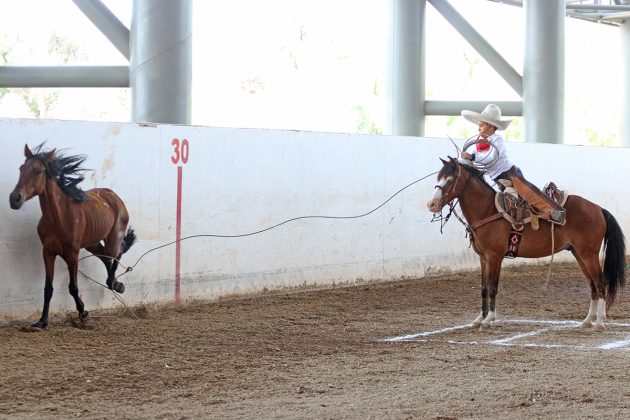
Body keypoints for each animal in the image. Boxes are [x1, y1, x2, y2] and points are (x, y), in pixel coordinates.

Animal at [8, 146, 138, 330]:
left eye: (38, 171)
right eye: (21, 169)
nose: (14, 199)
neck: (60, 217)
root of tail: (113, 196)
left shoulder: (72, 254)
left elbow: (73, 287)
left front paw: (83, 312)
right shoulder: (48, 252)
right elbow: (48, 288)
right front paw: (42, 321)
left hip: (113, 238)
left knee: (116, 254)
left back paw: (115, 284)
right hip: (92, 243)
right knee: (106, 258)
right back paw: (113, 283)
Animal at [424, 158, 628, 332]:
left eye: (450, 179)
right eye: (438, 178)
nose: (432, 204)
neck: (488, 211)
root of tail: (598, 209)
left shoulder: (495, 257)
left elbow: (492, 286)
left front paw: (489, 320)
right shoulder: (483, 258)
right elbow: (483, 288)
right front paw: (479, 319)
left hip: (589, 254)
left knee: (600, 283)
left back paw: (599, 322)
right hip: (579, 254)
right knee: (592, 285)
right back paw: (587, 321)